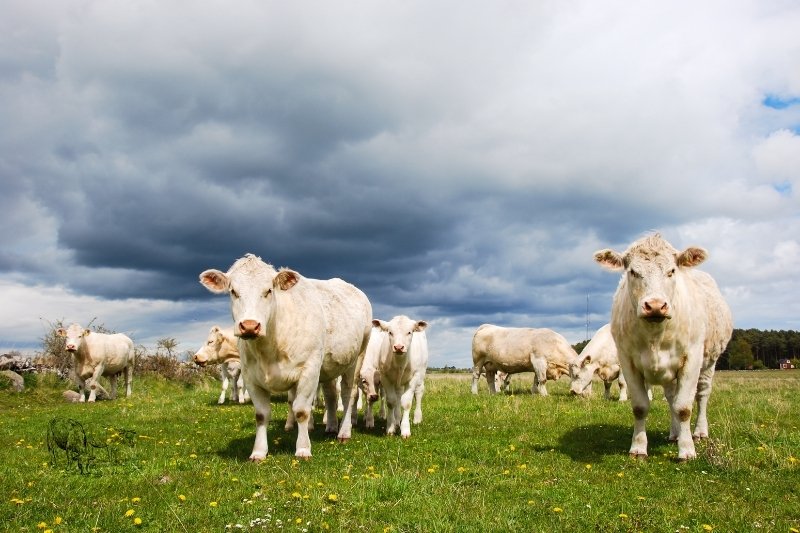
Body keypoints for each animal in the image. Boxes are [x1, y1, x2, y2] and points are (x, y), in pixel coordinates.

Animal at [202, 252, 374, 458]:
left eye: (269, 291)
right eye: (233, 291)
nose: (250, 326)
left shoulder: (309, 370)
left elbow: (301, 410)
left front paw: (303, 448)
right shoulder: (251, 375)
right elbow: (262, 414)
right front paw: (258, 452)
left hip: (356, 358)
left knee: (349, 394)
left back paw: (344, 432)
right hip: (328, 365)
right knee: (331, 394)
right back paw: (331, 426)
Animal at [592, 233, 732, 462]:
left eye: (672, 271)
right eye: (633, 272)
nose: (656, 306)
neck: (655, 335)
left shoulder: (692, 360)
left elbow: (684, 408)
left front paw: (687, 450)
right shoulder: (627, 361)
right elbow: (640, 407)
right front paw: (638, 448)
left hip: (709, 361)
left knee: (702, 394)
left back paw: (699, 432)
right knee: (671, 397)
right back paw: (675, 433)